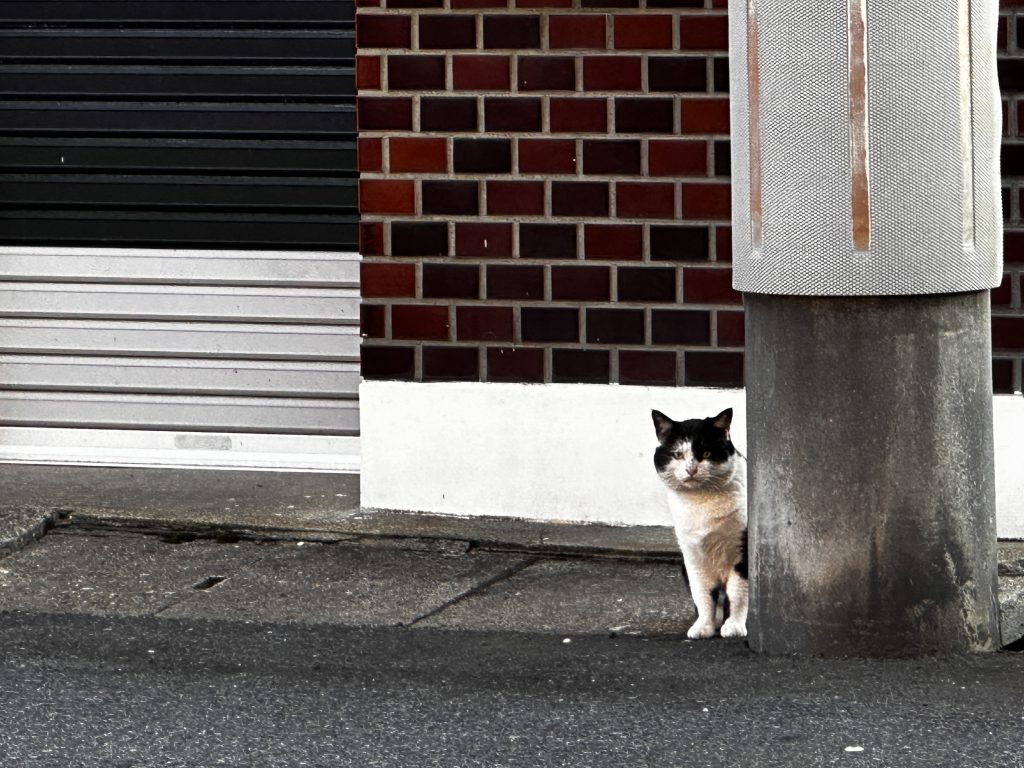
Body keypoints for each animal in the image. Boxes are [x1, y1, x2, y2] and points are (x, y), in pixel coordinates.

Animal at [651, 411, 749, 638]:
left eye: (705, 453)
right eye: (678, 455)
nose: (691, 469)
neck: (701, 501)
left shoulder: (741, 550)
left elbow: (738, 594)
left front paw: (734, 626)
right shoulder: (692, 555)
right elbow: (702, 595)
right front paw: (703, 627)